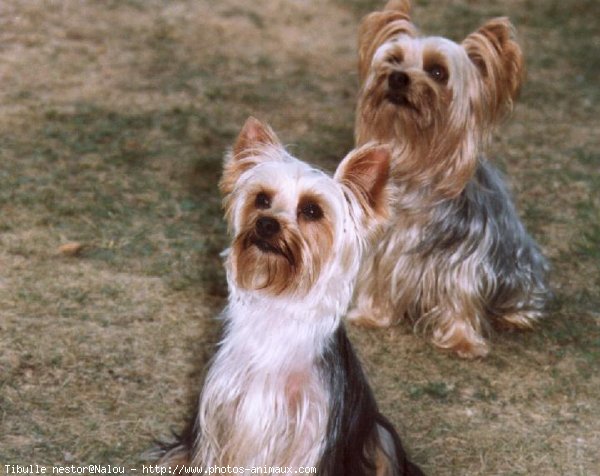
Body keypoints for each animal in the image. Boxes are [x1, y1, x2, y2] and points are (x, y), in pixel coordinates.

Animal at [157, 116, 424, 476]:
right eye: (262, 199)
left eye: (311, 210)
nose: (267, 224)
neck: (278, 302)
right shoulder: (222, 410)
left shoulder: (312, 427)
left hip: (380, 435)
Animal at [350, 0, 552, 356]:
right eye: (394, 59)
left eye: (437, 72)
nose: (397, 78)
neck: (417, 162)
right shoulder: (386, 249)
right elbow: (380, 277)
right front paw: (371, 315)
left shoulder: (464, 259)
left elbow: (460, 295)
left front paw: (461, 341)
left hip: (522, 269)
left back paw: (515, 317)